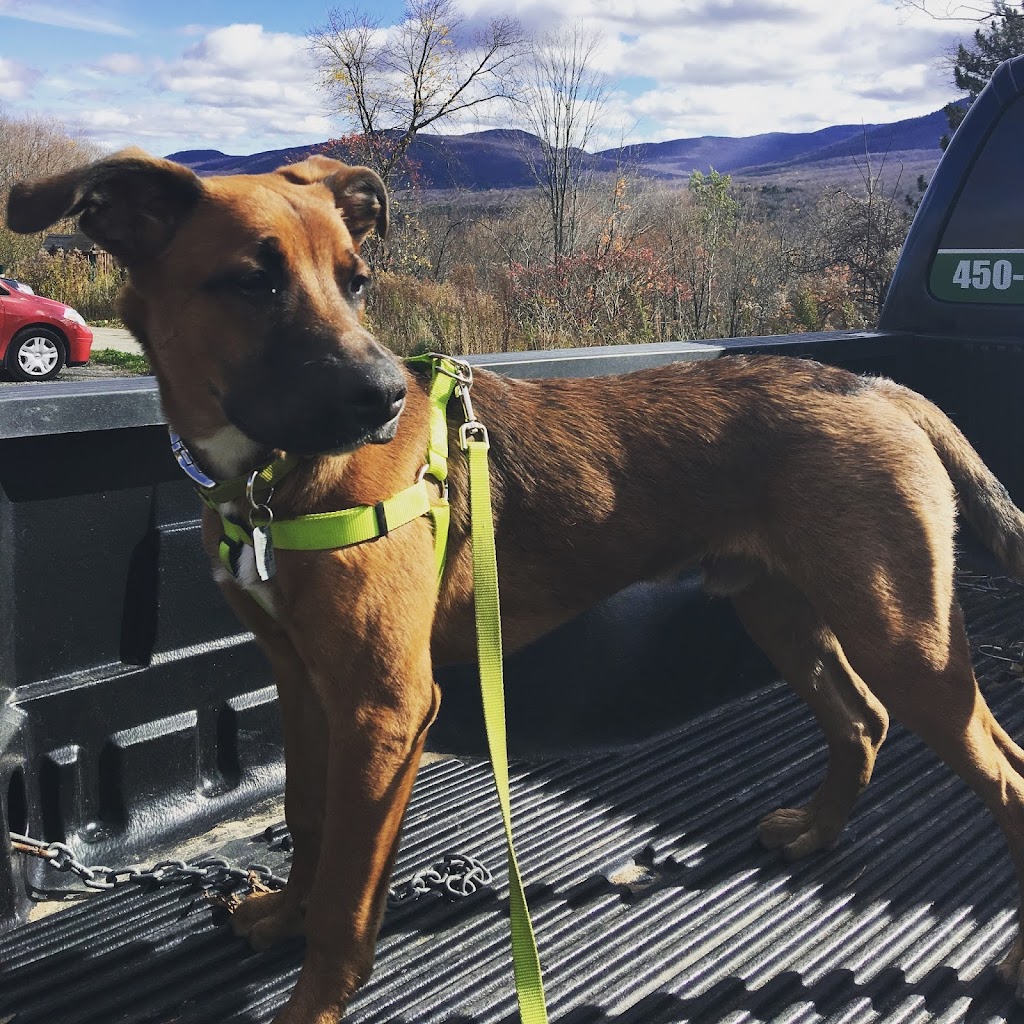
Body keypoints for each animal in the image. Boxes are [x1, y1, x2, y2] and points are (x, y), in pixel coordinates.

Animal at [9, 148, 1024, 1019]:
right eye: (252, 281)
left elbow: (346, 891)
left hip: (906, 634)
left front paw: (313, 1001)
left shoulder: (386, 708)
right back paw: (815, 831)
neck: (274, 478)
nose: (386, 402)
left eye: (357, 282)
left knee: (999, 772)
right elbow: (306, 821)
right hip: (781, 609)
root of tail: (884, 388)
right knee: (862, 720)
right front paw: (280, 918)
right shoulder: (302, 683)